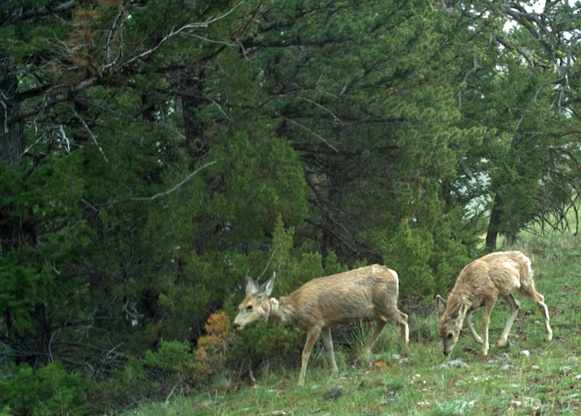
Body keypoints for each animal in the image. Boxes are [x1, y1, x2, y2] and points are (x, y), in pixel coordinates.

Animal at [231, 264, 408, 386]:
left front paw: (300, 381)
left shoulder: (315, 323)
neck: (295, 308)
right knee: (383, 321)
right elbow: (329, 346)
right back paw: (365, 351)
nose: (235, 324)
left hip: (386, 301)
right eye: (239, 306)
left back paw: (405, 348)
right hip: (374, 308)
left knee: (403, 317)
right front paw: (335, 370)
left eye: (249, 307)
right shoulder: (325, 324)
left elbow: (305, 352)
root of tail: (393, 273)